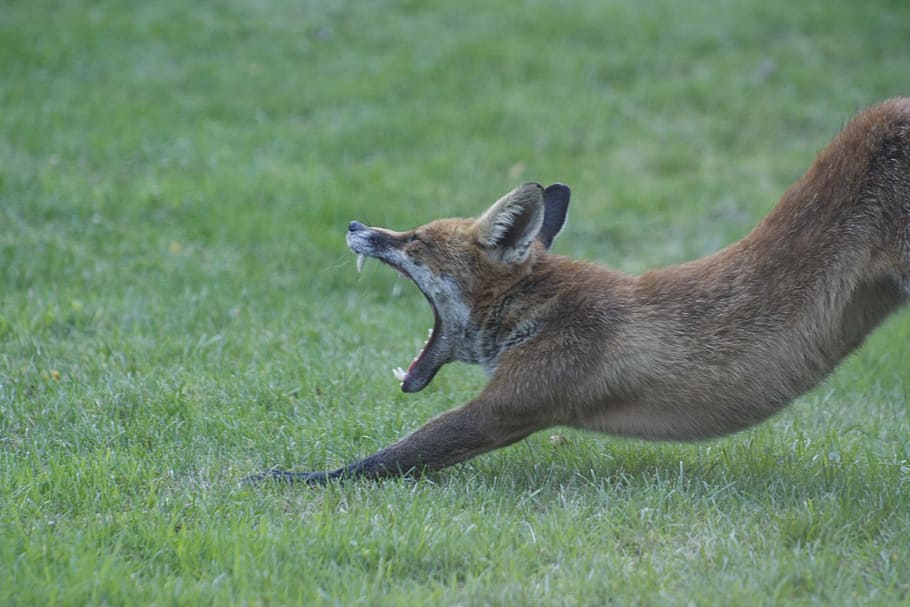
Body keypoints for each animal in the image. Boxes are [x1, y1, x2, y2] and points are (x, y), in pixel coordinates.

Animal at [250, 98, 910, 484]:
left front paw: (288, 481)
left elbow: (385, 459)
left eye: (415, 239)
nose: (355, 225)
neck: (540, 311)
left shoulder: (512, 404)